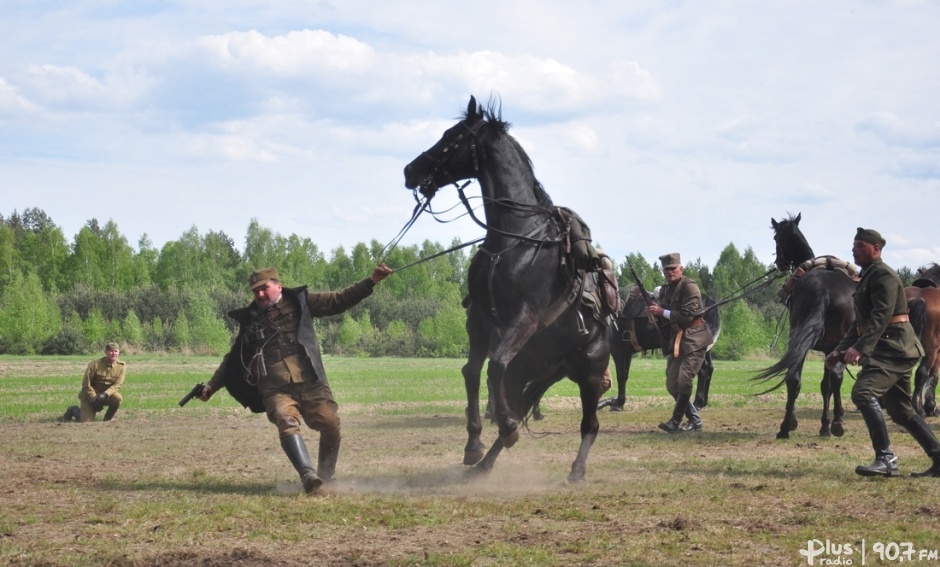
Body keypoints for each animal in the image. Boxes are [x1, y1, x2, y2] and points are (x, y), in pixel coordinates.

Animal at [752, 213, 856, 440]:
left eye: (776, 239)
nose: (779, 263)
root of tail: (824, 290)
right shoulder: (828, 349)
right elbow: (827, 386)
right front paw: (826, 425)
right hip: (833, 344)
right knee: (834, 378)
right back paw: (836, 423)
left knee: (793, 379)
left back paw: (785, 427)